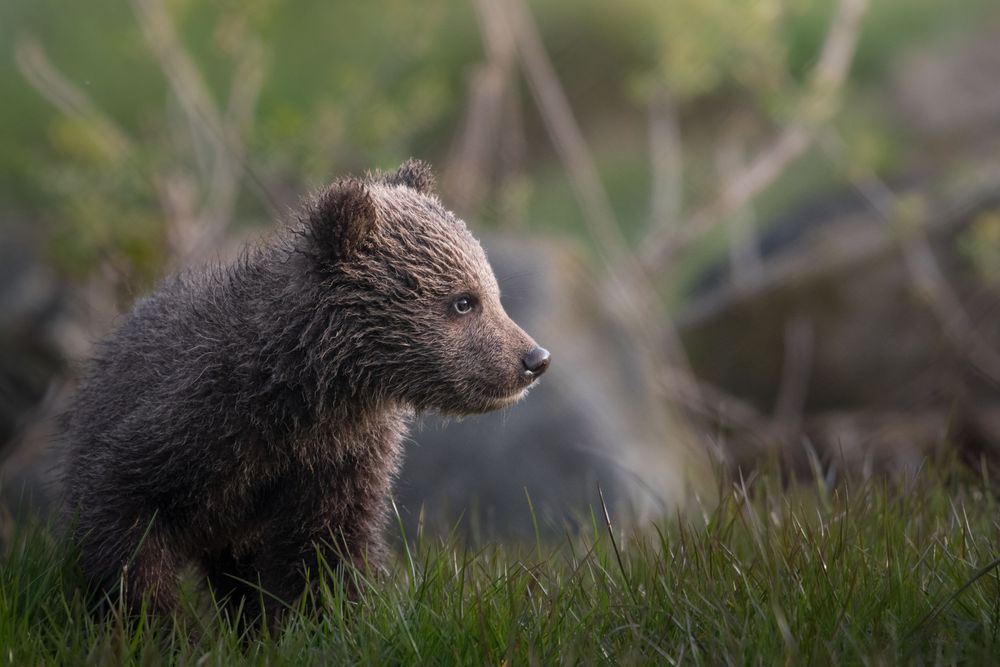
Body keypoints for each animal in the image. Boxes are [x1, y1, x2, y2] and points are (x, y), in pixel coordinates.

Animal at [61, 159, 550, 623]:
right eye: (463, 301)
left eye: (494, 292)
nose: (534, 359)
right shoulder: (190, 423)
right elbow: (125, 521)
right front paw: (161, 626)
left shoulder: (338, 463)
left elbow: (327, 554)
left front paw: (321, 622)